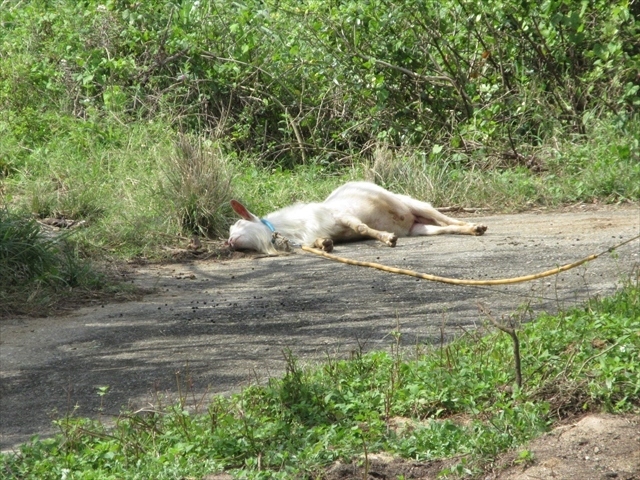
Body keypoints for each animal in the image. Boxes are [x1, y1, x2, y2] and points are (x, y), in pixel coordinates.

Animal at [228, 181, 488, 255]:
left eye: (238, 223)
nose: (228, 242)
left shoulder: (341, 216)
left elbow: (362, 228)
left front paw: (387, 239)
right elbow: (320, 241)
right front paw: (326, 244)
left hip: (415, 204)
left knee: (447, 219)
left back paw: (476, 226)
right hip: (419, 228)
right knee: (444, 228)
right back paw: (472, 230)